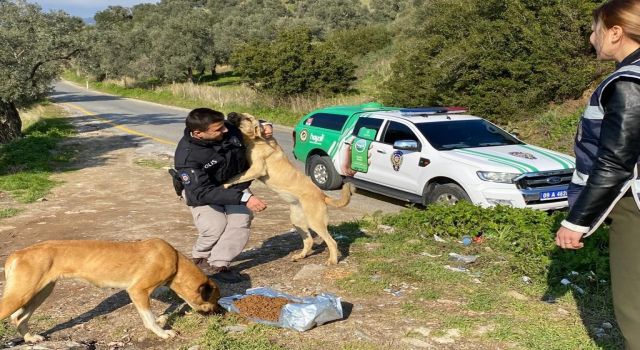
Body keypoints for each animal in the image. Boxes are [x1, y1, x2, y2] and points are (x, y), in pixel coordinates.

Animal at [0, 238, 220, 342]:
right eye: (215, 300)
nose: (220, 314)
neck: (175, 261)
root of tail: (17, 253)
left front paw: (162, 321)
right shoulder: (138, 291)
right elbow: (149, 319)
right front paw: (162, 333)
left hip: (39, 293)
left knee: (19, 318)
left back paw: (30, 338)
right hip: (20, 295)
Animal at [225, 113, 356, 266]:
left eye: (247, 119)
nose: (230, 114)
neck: (257, 139)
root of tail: (322, 195)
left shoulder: (256, 169)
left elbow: (237, 177)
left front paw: (225, 184)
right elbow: (237, 176)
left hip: (315, 222)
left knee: (332, 242)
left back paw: (332, 260)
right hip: (297, 221)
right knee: (309, 240)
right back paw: (300, 256)